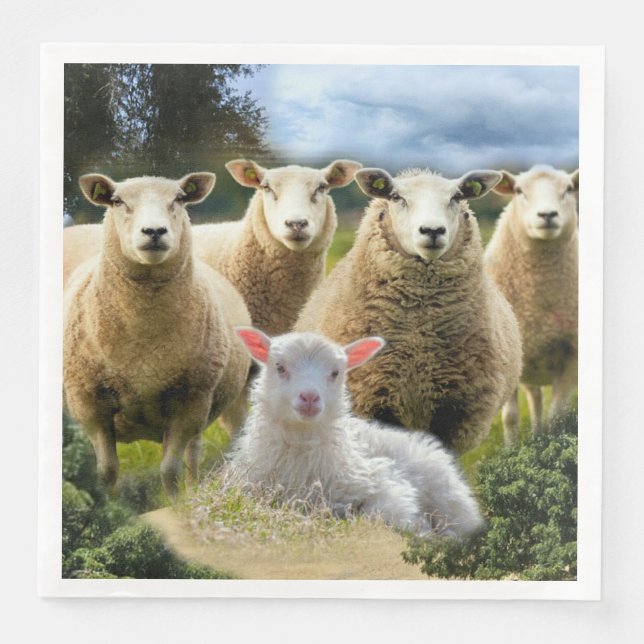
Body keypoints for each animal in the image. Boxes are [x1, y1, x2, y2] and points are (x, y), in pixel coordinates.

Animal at [63, 172, 251, 497]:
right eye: (117, 201)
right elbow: (106, 470)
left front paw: (176, 501)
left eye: (179, 198)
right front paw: (108, 501)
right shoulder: (88, 404)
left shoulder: (190, 402)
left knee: (193, 454)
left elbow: (169, 470)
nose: (154, 231)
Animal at [226, 328, 483, 537]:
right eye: (280, 367)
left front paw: (422, 530)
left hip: (448, 496)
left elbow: (381, 513)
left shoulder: (382, 482)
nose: (309, 397)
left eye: (335, 372)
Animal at [296, 167, 522, 454]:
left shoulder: (455, 410)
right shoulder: (373, 398)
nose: (432, 230)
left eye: (457, 197)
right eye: (395, 196)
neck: (419, 336)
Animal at [484, 165, 579, 443]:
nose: (547, 215)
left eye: (569, 189)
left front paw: (551, 441)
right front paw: (512, 449)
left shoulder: (572, 356)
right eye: (519, 190)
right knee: (535, 400)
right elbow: (510, 417)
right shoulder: (507, 357)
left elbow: (557, 416)